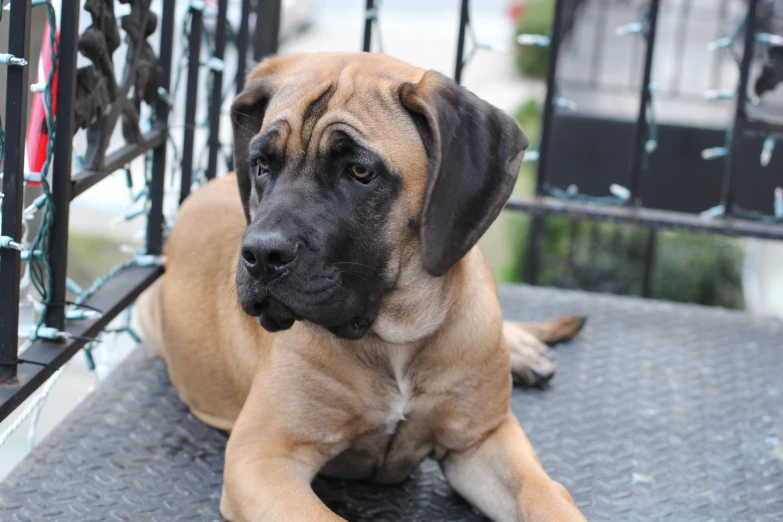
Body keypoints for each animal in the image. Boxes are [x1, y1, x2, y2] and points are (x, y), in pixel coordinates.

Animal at [136, 49, 588, 520]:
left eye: (359, 172)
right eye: (261, 166)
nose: (261, 255)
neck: (398, 337)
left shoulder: (482, 439)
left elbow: (545, 494)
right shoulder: (262, 458)